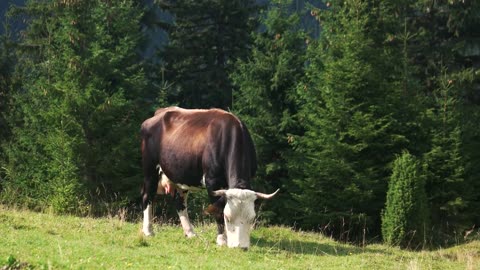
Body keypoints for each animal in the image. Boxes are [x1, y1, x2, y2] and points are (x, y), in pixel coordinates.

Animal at [139, 106, 280, 249]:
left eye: (251, 218)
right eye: (227, 217)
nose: (241, 246)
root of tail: (159, 113)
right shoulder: (212, 181)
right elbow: (218, 210)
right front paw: (222, 240)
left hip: (180, 175)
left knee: (179, 202)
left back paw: (190, 232)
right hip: (150, 169)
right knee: (147, 196)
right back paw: (148, 231)